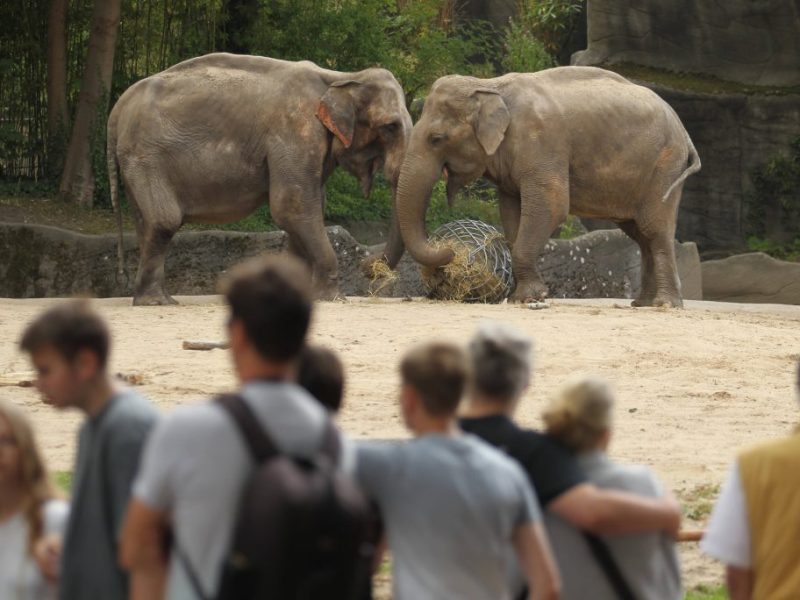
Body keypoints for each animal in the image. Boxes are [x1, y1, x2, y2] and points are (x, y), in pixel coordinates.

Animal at [108, 52, 412, 304]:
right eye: (390, 127)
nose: (368, 267)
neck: (340, 77)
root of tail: (117, 108)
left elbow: (306, 209)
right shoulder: (294, 130)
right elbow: (292, 206)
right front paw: (333, 299)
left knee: (146, 221)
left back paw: (155, 299)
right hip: (145, 155)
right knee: (164, 219)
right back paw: (158, 302)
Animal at [394, 68, 700, 308]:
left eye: (436, 139)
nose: (451, 253)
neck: (490, 85)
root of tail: (685, 133)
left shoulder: (541, 142)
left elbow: (550, 206)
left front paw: (531, 297)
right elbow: (511, 213)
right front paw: (521, 297)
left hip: (665, 165)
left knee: (654, 229)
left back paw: (664, 304)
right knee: (640, 233)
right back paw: (642, 303)